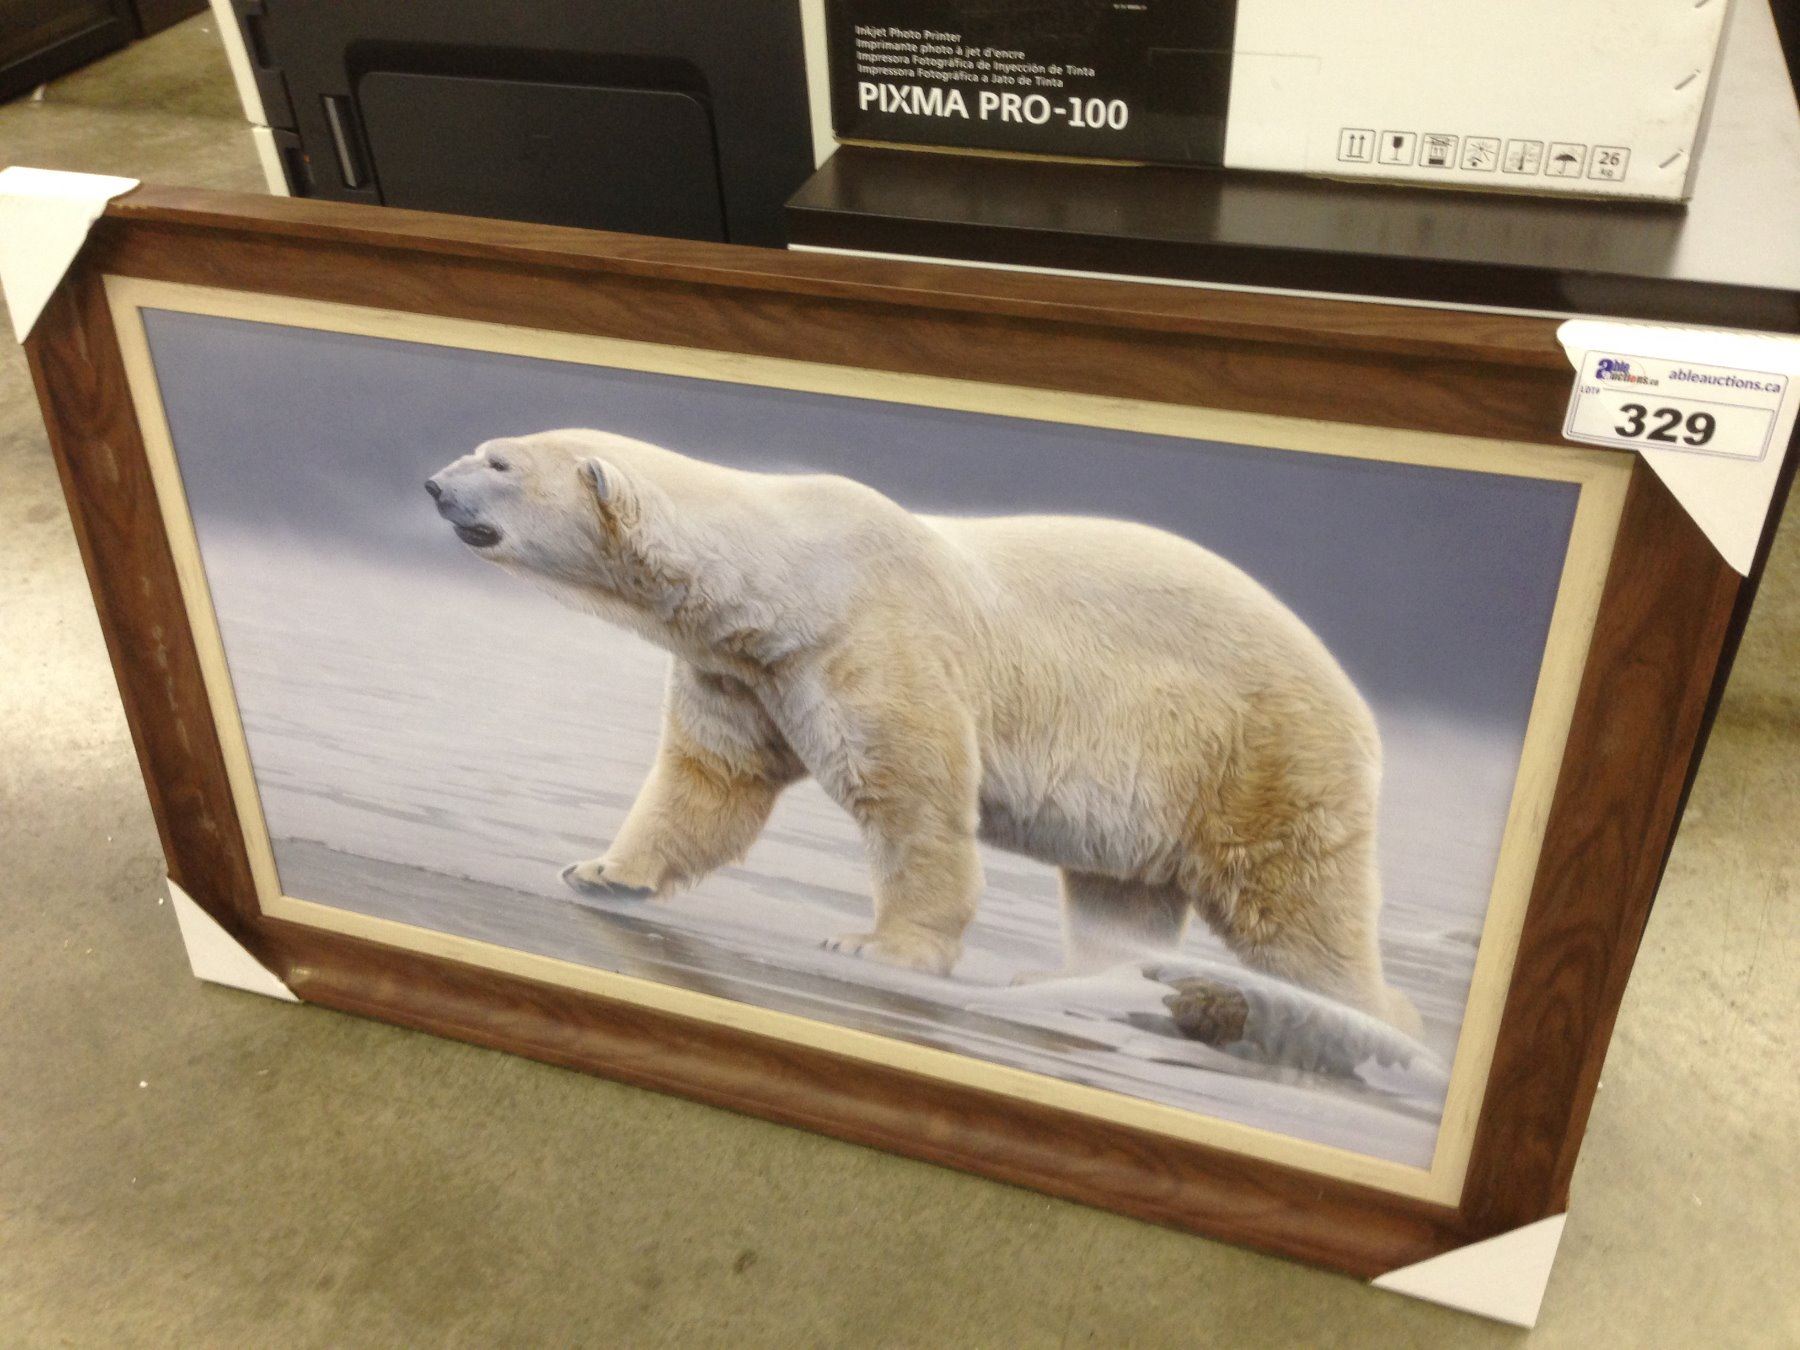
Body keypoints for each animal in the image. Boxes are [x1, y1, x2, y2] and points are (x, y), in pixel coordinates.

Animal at [425, 428, 1421, 1034]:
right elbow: (707, 783)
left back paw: (1350, 1018)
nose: (434, 482)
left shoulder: (873, 642)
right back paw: (1065, 982)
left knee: (1294, 907)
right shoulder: (742, 673)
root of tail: (1362, 712)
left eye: (500, 463)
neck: (786, 584)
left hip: (1261, 752)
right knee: (1118, 896)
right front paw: (601, 871)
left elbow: (913, 799)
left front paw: (877, 946)